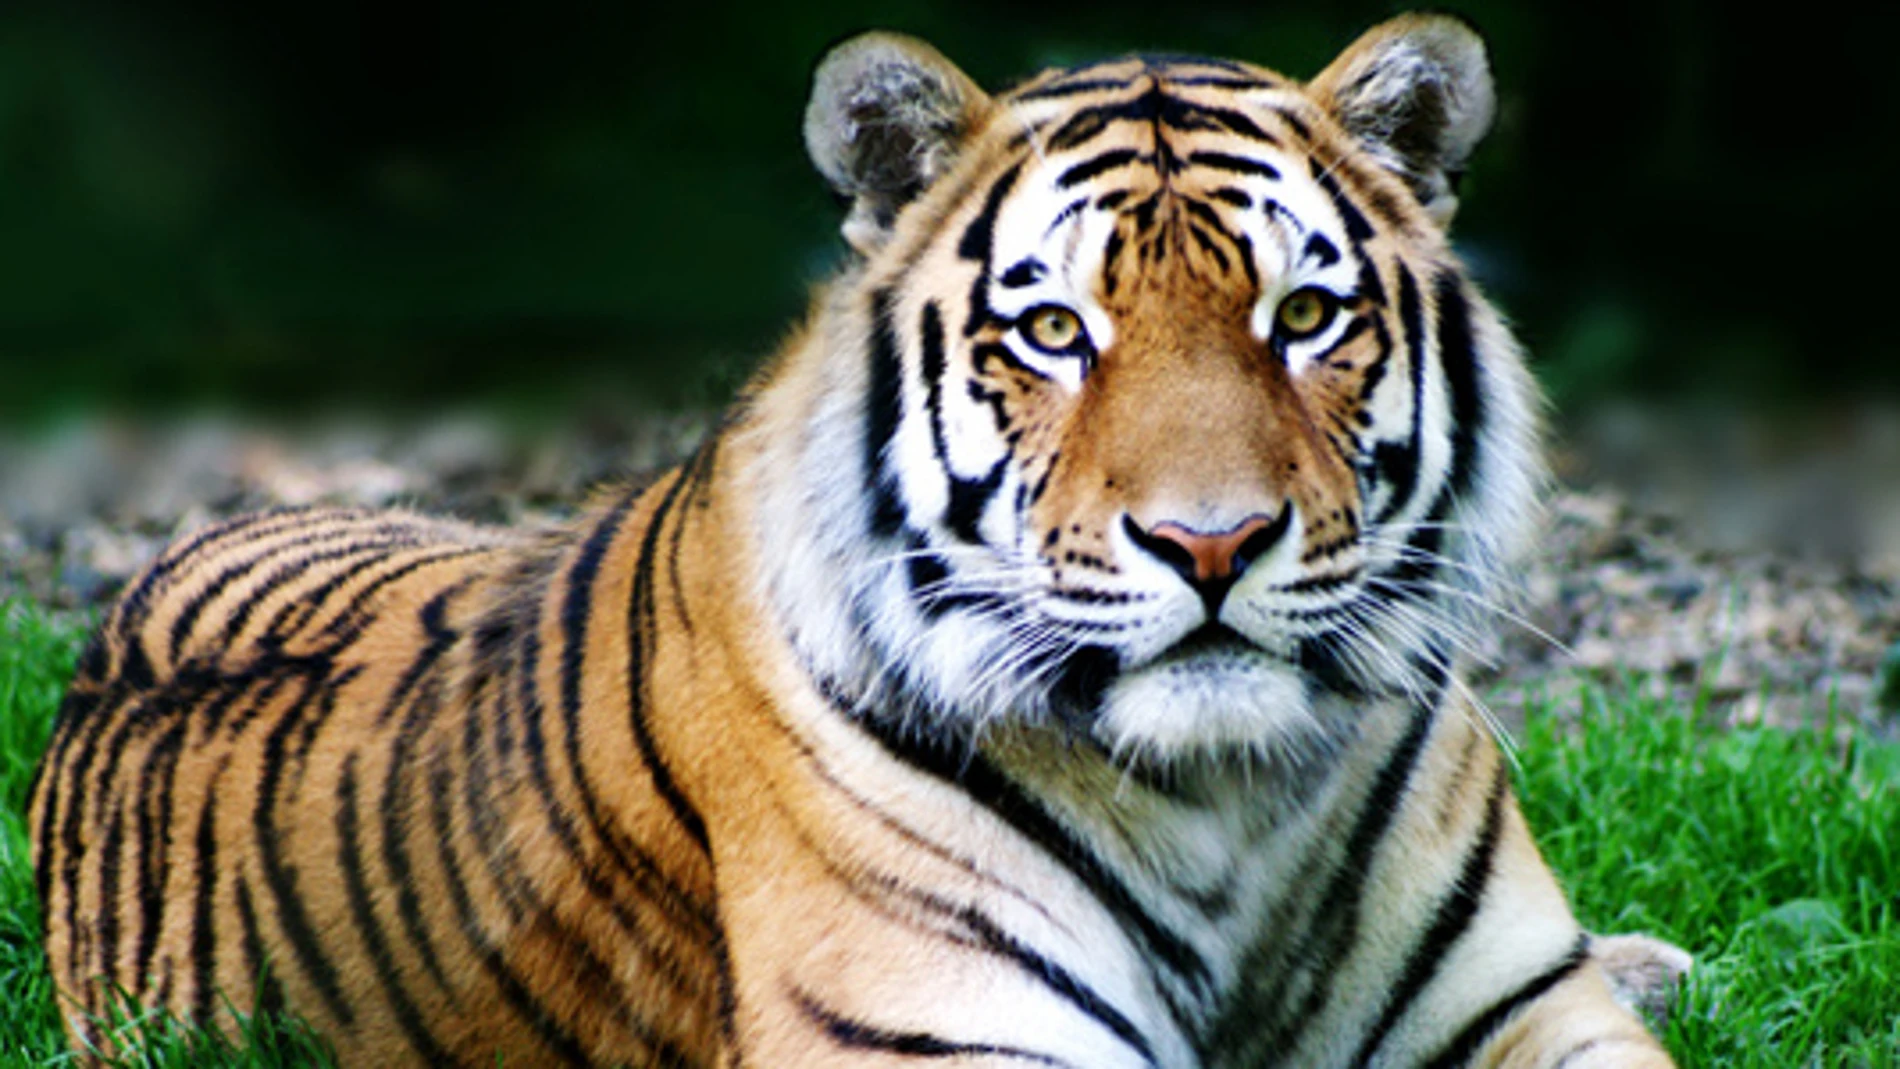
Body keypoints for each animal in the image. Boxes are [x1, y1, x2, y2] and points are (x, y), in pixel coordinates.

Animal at [29, 14, 1688, 1068]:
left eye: (1304, 315)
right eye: (1054, 331)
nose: (1208, 545)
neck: (1222, 799)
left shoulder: (1523, 1009)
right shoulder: (942, 1033)